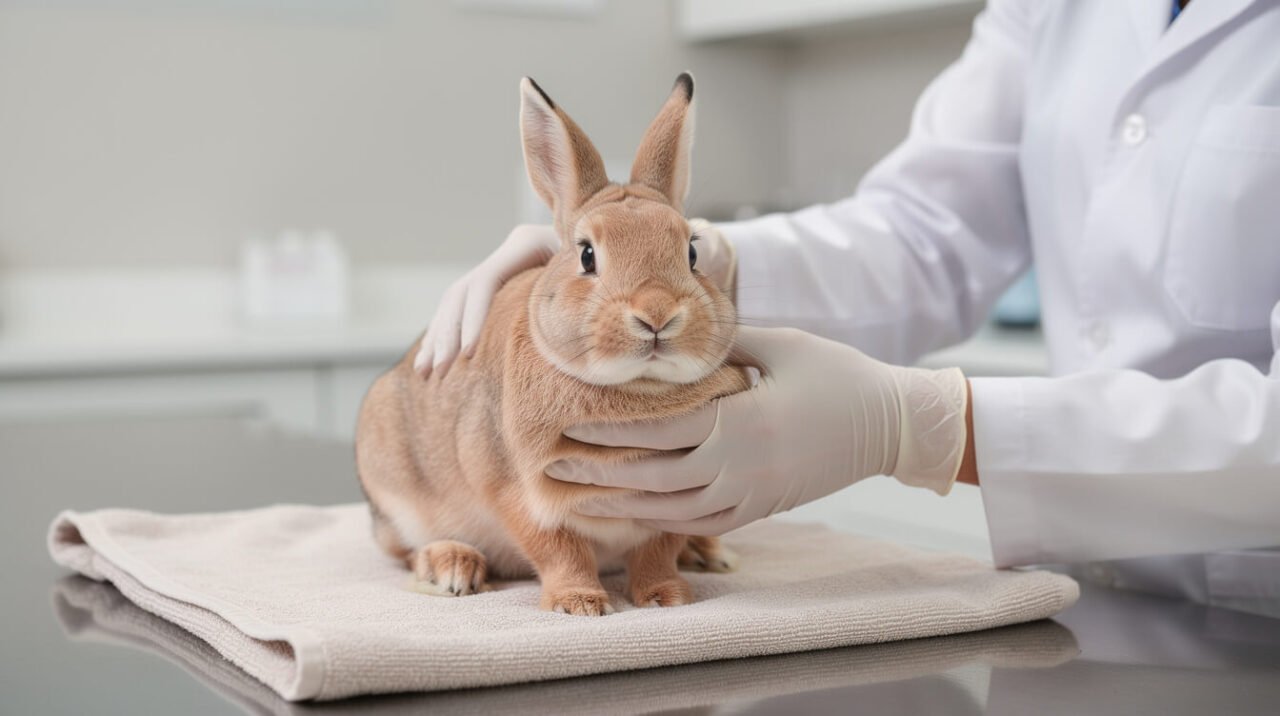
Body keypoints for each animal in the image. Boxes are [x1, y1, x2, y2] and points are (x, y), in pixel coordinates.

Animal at [355, 72, 750, 616]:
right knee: (405, 552)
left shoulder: (677, 501)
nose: (656, 315)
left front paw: (666, 598)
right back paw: (452, 567)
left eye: (692, 252)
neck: (640, 390)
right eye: (586, 255)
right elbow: (559, 547)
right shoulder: (517, 489)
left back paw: (711, 553)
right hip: (396, 493)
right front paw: (578, 604)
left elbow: (657, 550)